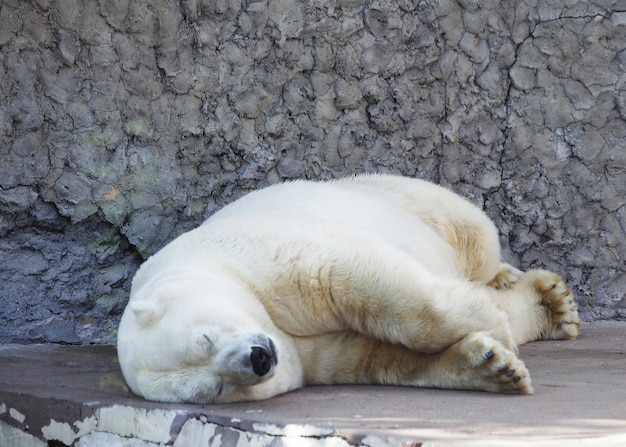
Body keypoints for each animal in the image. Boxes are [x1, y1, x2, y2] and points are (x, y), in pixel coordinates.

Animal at [116, 173, 576, 404]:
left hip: (407, 198)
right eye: (215, 389)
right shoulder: (302, 354)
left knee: (473, 236)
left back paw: (522, 285)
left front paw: (495, 327)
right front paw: (493, 366)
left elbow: (351, 273)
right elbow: (367, 356)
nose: (259, 358)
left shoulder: (257, 257)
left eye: (206, 338)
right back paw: (549, 304)